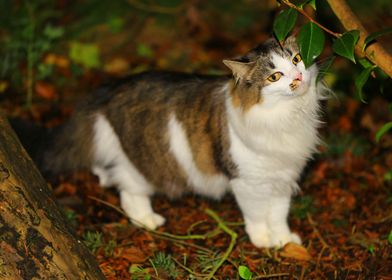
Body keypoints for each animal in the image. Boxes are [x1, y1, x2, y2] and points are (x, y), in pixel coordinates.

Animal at [40, 36, 324, 248]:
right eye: (274, 76)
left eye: (297, 59)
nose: (297, 77)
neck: (288, 116)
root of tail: (110, 88)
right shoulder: (248, 181)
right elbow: (257, 215)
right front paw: (263, 240)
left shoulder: (283, 177)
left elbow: (279, 214)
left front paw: (284, 240)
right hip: (145, 162)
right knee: (128, 191)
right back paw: (147, 220)